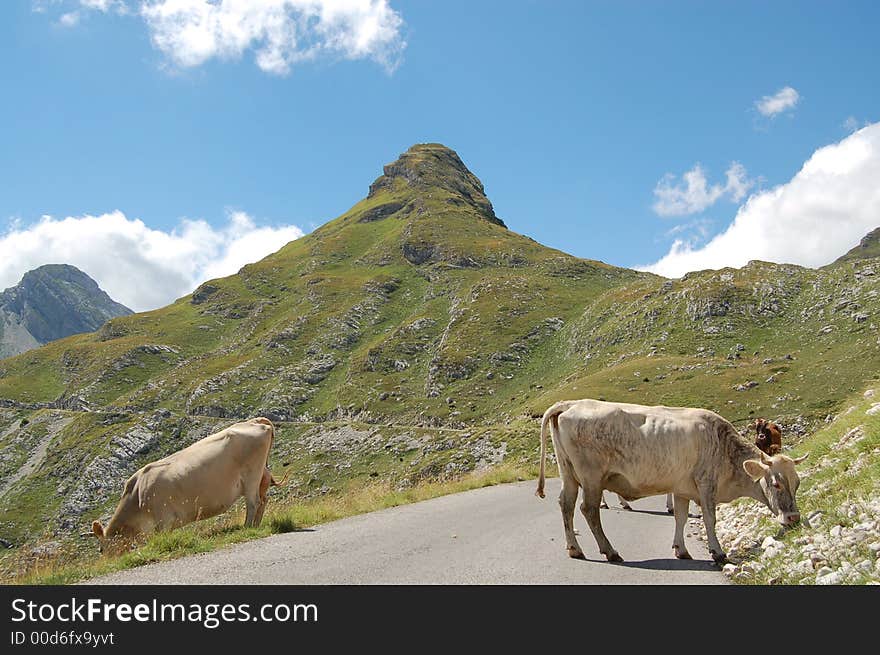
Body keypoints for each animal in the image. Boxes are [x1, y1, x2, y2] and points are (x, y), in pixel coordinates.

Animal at [93, 418, 286, 552]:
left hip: (251, 476)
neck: (137, 496)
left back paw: (248, 527)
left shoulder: (163, 521)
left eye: (101, 549)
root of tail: (254, 421)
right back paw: (257, 525)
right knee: (263, 500)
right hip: (260, 476)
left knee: (254, 502)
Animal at [532, 400, 808, 564]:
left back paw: (575, 549)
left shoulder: (682, 488)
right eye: (776, 484)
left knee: (566, 506)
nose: (794, 517)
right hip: (591, 478)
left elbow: (681, 518)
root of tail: (571, 403)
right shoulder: (706, 484)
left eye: (797, 483)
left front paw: (681, 549)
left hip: (569, 474)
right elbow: (710, 519)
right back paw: (610, 551)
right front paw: (717, 552)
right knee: (588, 510)